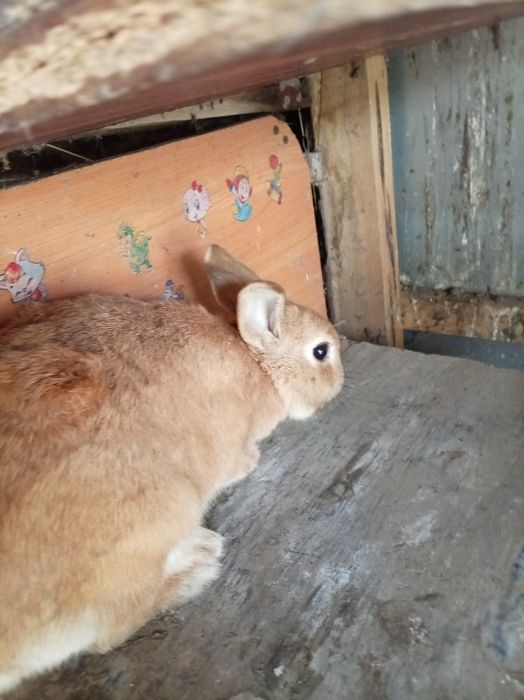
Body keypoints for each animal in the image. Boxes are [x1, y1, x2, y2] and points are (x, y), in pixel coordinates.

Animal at [0, 245, 343, 694]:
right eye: (321, 352)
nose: (340, 383)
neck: (256, 364)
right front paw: (250, 460)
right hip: (165, 509)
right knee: (114, 629)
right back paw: (200, 563)